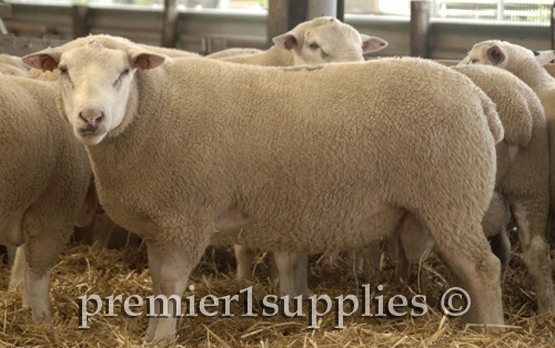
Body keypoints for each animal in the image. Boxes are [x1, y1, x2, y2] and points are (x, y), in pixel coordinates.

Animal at [0, 72, 93, 324]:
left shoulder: (32, 205)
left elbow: (23, 261)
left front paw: (22, 306)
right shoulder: (54, 210)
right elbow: (38, 274)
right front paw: (43, 323)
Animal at [25, 35, 504, 342]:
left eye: (124, 72)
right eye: (64, 71)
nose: (91, 118)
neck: (151, 109)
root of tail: (478, 97)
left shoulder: (187, 215)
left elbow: (171, 283)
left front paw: (161, 337)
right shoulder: (162, 223)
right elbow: (160, 282)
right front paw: (150, 333)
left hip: (453, 199)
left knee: (483, 267)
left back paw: (491, 330)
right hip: (447, 204)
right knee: (470, 268)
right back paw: (473, 325)